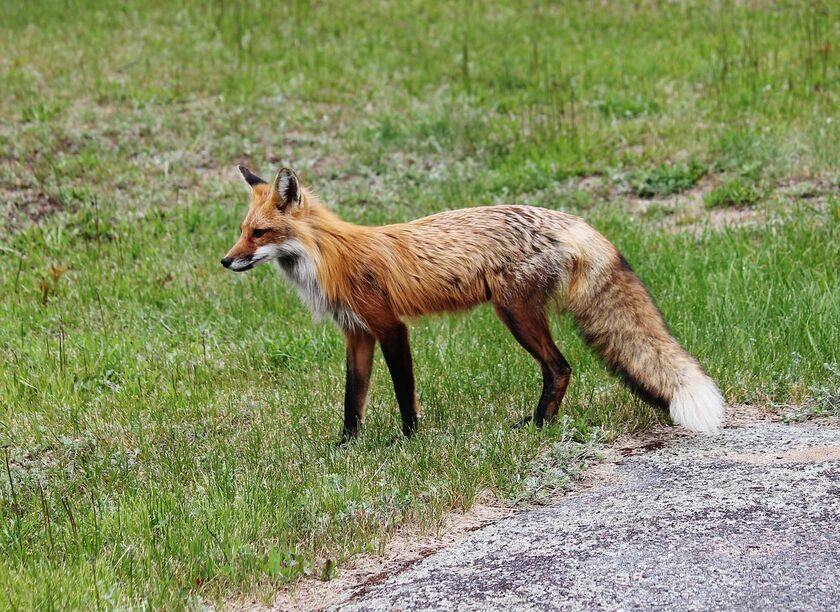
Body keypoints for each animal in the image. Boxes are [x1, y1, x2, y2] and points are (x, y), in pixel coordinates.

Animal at [225, 165, 728, 442]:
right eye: (242, 230)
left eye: (260, 233)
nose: (225, 260)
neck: (329, 257)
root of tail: (574, 221)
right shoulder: (357, 335)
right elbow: (353, 400)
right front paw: (345, 448)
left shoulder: (390, 326)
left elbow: (404, 392)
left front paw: (408, 442)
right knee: (559, 369)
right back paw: (538, 423)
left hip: (514, 313)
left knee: (560, 368)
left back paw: (536, 427)